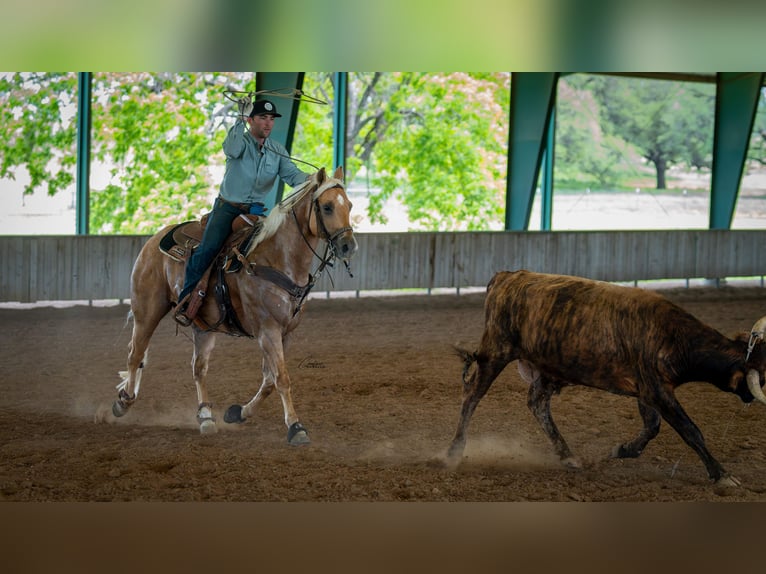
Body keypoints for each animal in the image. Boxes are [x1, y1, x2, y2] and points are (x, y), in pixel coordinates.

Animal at [109, 166, 357, 444]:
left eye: (349, 205)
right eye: (326, 207)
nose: (348, 246)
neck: (276, 259)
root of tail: (155, 239)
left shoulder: (285, 333)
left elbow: (269, 380)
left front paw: (238, 412)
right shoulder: (267, 330)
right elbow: (281, 378)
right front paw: (296, 427)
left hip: (202, 326)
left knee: (198, 368)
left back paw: (206, 417)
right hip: (147, 311)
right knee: (135, 354)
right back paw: (123, 402)